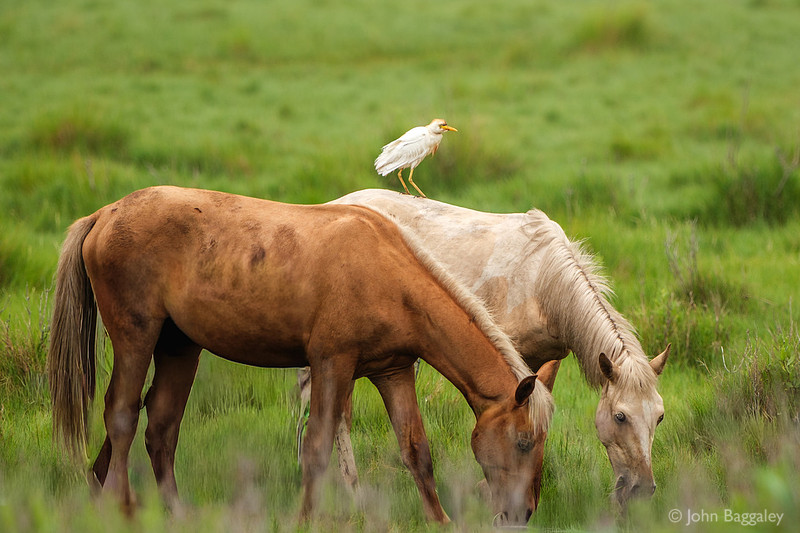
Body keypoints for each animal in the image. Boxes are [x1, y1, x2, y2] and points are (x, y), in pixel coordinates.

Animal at [47, 185, 555, 526]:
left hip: (179, 346)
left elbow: (416, 450)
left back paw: (173, 512)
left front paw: (440, 521)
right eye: (523, 442)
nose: (524, 513)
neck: (388, 273)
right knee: (122, 416)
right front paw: (305, 519)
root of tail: (105, 214)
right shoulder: (333, 364)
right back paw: (123, 507)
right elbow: (315, 450)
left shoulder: (393, 372)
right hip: (136, 337)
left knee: (161, 429)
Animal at [309, 189, 670, 509]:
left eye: (660, 417)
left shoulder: (543, 363)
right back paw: (349, 488)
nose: (642, 490)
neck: (542, 281)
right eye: (620, 416)